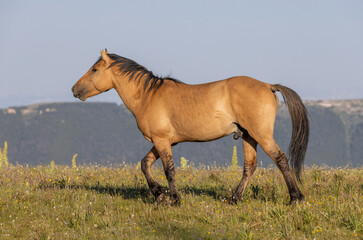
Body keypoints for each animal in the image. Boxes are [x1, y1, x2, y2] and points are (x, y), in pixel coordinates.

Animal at [72, 49, 310, 205]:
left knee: (280, 159)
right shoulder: (164, 141)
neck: (148, 96)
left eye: (94, 69)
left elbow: (169, 170)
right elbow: (144, 164)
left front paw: (173, 199)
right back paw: (235, 198)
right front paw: (158, 193)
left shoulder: (161, 141)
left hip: (261, 135)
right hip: (248, 136)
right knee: (249, 166)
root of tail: (268, 86)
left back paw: (295, 198)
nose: (75, 89)